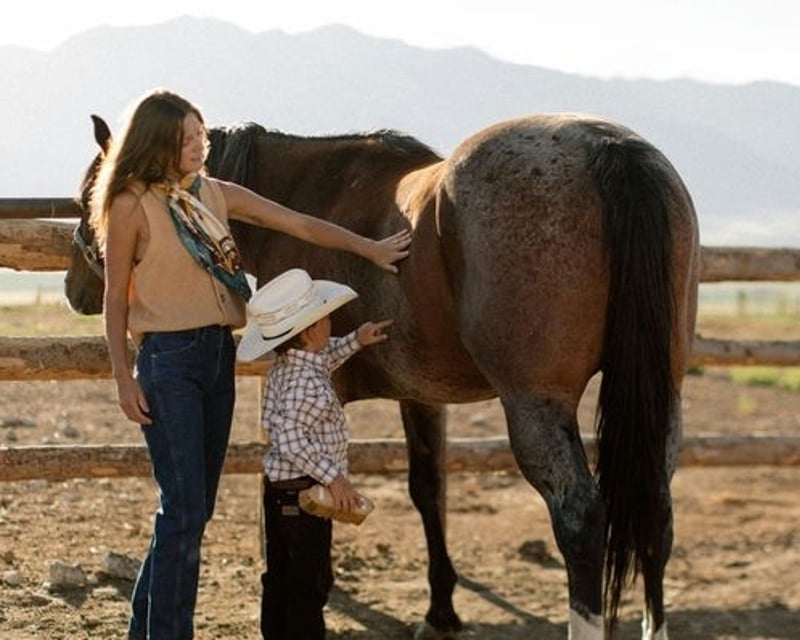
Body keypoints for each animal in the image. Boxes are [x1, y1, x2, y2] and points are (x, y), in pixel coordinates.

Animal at [65, 112, 699, 639]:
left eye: (91, 196)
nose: (76, 288)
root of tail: (608, 149)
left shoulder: (301, 383)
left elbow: (295, 482)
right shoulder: (422, 398)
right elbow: (427, 490)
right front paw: (440, 612)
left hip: (536, 406)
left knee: (581, 520)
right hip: (663, 397)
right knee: (657, 508)